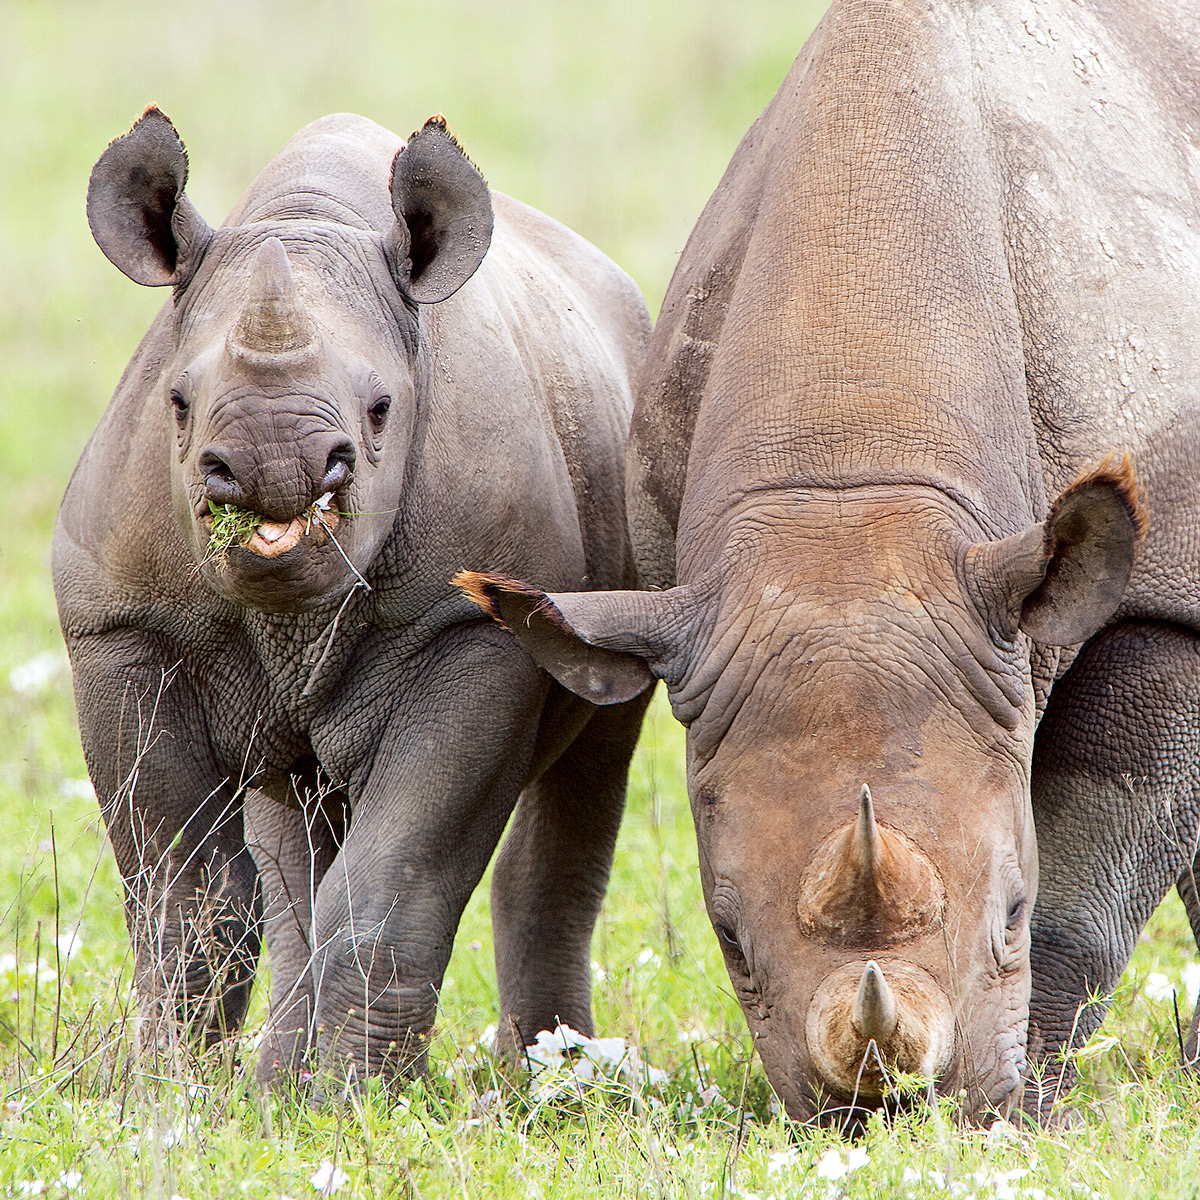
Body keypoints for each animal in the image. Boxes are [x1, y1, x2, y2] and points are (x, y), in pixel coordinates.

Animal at [56, 108, 652, 1089]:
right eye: (177, 403)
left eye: (380, 411)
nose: (273, 467)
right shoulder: (124, 626)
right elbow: (185, 902)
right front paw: (174, 1093)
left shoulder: (469, 632)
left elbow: (393, 883)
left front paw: (350, 1099)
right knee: (292, 832)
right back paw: (277, 1084)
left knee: (594, 754)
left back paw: (552, 1076)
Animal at [460, 0, 1200, 1123]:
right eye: (729, 941)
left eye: (1013, 913)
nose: (889, 1114)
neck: (853, 477)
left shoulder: (1156, 591)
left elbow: (1096, 854)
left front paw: (1025, 1108)